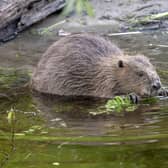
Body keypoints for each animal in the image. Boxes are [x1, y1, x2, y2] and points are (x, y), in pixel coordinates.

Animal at [31, 33, 163, 99]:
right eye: (140, 73)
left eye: (154, 69)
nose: (156, 85)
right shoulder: (105, 81)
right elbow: (107, 94)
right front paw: (130, 96)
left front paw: (164, 91)